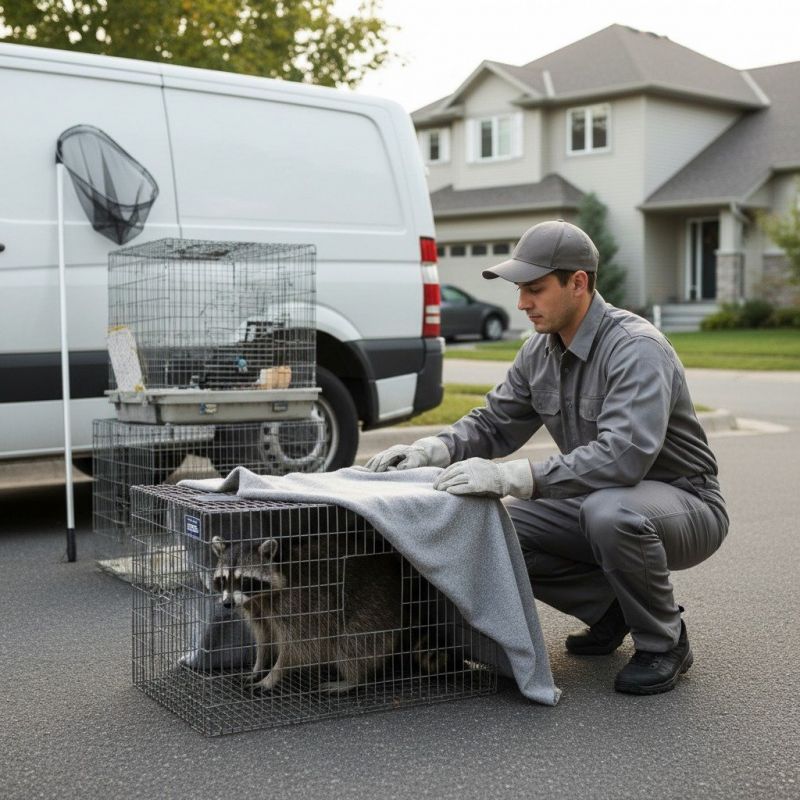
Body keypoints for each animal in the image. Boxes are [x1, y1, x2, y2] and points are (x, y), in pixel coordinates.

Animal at [210, 534, 402, 693]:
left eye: (245, 580)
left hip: (373, 610)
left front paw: (273, 674)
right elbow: (264, 638)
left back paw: (354, 679)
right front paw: (259, 666)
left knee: (353, 643)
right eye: (223, 580)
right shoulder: (257, 610)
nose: (227, 603)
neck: (261, 597)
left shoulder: (299, 605)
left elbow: (298, 647)